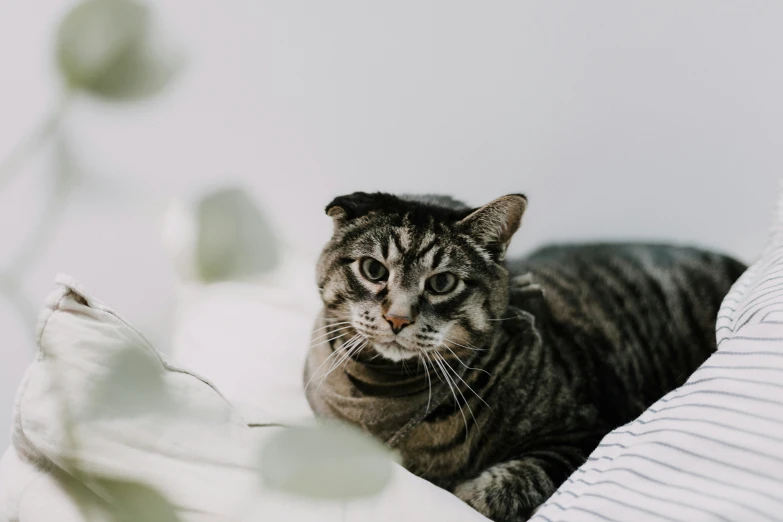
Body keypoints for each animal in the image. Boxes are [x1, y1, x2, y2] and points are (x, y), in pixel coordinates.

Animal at [302, 192, 748, 520]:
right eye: (373, 270)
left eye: (442, 283)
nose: (397, 318)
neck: (390, 391)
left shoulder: (585, 432)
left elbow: (498, 489)